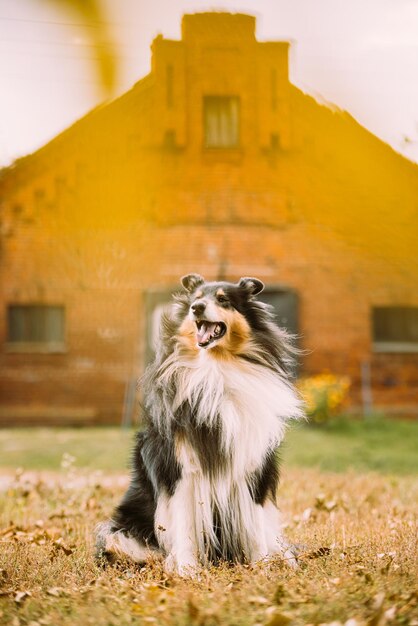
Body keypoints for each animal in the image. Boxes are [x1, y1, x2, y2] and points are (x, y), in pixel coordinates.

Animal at [96, 272, 302, 576]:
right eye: (196, 299)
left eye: (223, 299)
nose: (197, 309)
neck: (217, 369)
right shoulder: (181, 472)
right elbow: (184, 528)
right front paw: (186, 570)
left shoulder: (251, 469)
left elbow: (254, 527)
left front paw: (261, 568)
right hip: (118, 532)